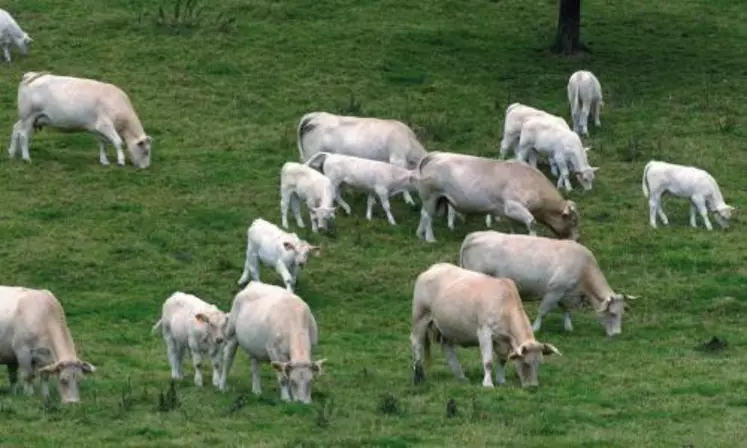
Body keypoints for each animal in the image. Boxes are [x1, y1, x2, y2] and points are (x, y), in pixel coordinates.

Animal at [8, 72, 153, 169]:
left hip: (32, 118)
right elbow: (117, 142)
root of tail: (32, 75)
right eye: (146, 151)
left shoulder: (98, 129)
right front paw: (121, 161)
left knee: (16, 129)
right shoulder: (104, 125)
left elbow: (103, 144)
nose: (146, 168)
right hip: (29, 116)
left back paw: (12, 153)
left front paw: (104, 161)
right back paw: (26, 157)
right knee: (23, 135)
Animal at [414, 153, 584, 245]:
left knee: (423, 214)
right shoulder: (513, 206)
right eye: (573, 220)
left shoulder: (510, 213)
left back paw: (419, 234)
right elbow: (531, 222)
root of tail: (434, 155)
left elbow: (515, 227)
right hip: (431, 197)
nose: (577, 238)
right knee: (428, 216)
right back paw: (430, 238)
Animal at [458, 231, 640, 336]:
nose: (617, 334)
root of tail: (473, 236)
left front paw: (568, 327)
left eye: (622, 313)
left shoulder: (565, 293)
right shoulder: (554, 291)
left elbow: (566, 310)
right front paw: (535, 328)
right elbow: (543, 311)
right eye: (613, 314)